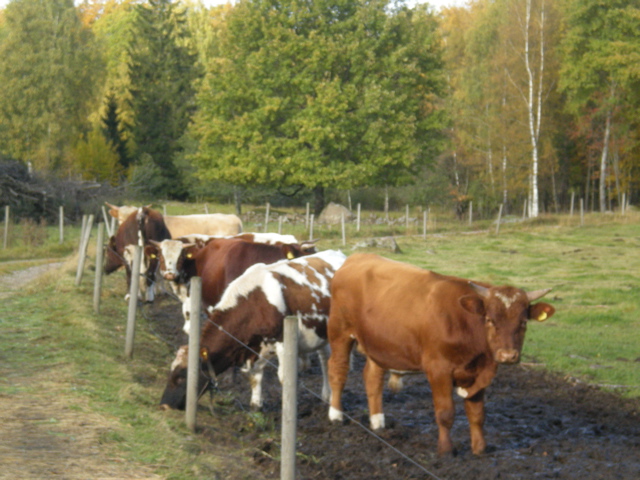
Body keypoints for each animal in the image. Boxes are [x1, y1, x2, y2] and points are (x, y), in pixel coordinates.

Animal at [161, 249, 350, 410]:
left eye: (181, 376)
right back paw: (326, 394)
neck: (255, 301)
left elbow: (284, 377)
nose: (164, 405)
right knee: (324, 357)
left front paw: (288, 407)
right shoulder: (254, 346)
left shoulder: (283, 342)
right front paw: (256, 404)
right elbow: (255, 374)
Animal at [328, 253, 552, 456]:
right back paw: (336, 415)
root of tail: (357, 256)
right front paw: (446, 450)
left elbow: (477, 414)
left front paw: (479, 449)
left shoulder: (478, 373)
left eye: (523, 322)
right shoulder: (438, 370)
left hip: (378, 345)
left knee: (372, 378)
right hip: (340, 332)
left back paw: (377, 421)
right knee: (338, 370)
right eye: (489, 319)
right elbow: (445, 413)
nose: (507, 355)